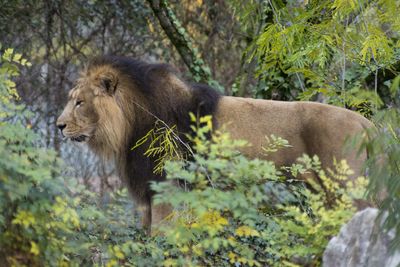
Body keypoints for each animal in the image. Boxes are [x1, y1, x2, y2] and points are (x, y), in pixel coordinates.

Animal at [57, 55, 374, 231]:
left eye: (80, 102)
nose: (58, 126)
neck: (130, 123)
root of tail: (366, 123)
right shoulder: (149, 187)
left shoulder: (168, 184)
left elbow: (162, 231)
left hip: (345, 188)